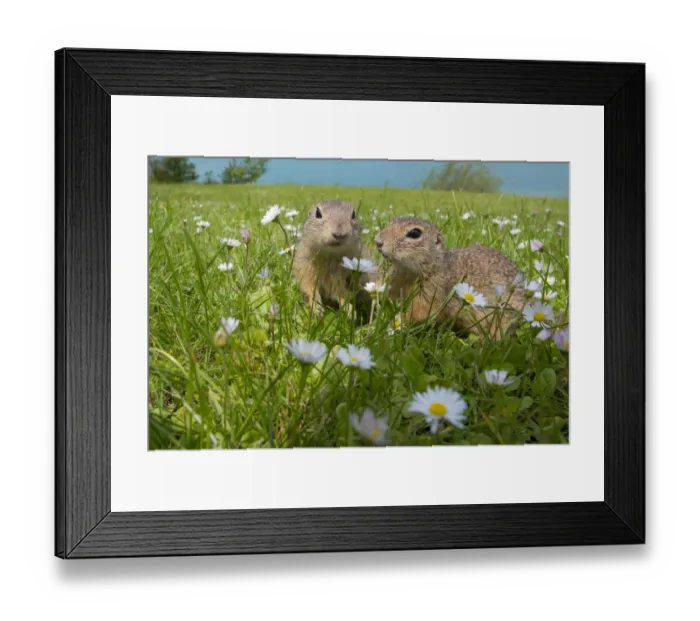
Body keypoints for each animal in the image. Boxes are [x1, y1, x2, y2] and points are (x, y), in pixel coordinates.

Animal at [375, 216, 526, 337]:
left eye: (415, 233)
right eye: (390, 222)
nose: (378, 242)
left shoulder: (433, 291)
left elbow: (420, 311)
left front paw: (396, 321)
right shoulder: (397, 280)